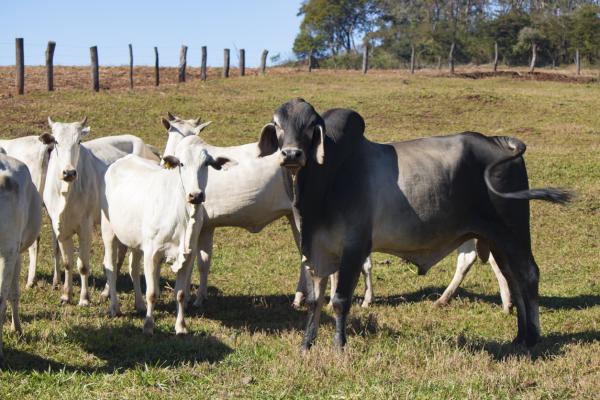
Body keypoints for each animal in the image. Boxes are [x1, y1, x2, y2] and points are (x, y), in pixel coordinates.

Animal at [42, 117, 159, 304]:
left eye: (79, 141)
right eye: (56, 141)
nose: (69, 172)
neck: (65, 192)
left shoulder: (85, 225)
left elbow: (83, 265)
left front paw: (84, 298)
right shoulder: (58, 226)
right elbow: (67, 262)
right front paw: (66, 294)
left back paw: (106, 292)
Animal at [102, 136, 233, 332]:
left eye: (206, 164)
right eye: (181, 163)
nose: (196, 195)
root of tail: (120, 162)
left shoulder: (188, 254)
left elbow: (180, 293)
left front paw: (181, 327)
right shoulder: (152, 253)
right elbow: (152, 292)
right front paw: (148, 325)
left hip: (135, 240)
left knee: (133, 268)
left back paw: (139, 304)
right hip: (109, 229)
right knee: (110, 266)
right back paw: (114, 307)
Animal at [258, 99, 572, 350]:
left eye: (311, 126)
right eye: (278, 124)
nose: (291, 154)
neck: (323, 184)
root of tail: (498, 141)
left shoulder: (354, 248)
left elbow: (339, 300)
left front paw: (339, 346)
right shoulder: (316, 250)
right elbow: (315, 300)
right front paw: (306, 345)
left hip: (513, 231)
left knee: (528, 275)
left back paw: (533, 338)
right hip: (497, 241)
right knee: (513, 279)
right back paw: (520, 337)